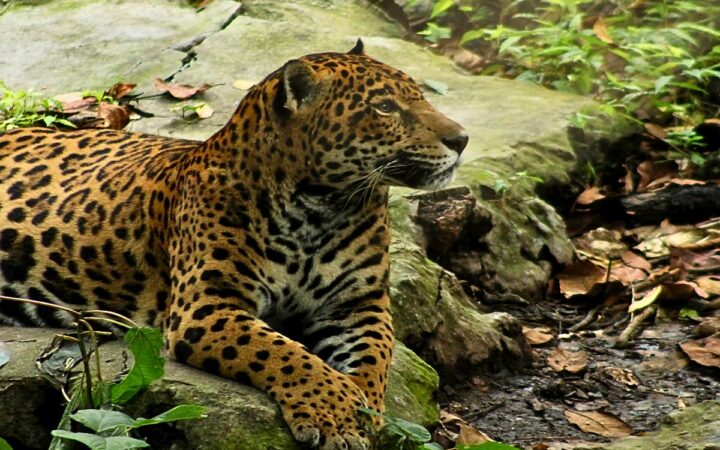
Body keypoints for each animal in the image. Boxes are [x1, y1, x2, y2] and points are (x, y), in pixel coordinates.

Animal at [0, 40, 467, 450]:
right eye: (385, 107)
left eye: (418, 96)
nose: (461, 139)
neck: (321, 208)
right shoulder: (207, 305)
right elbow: (284, 354)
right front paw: (336, 411)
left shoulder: (358, 304)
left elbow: (374, 359)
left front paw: (361, 408)